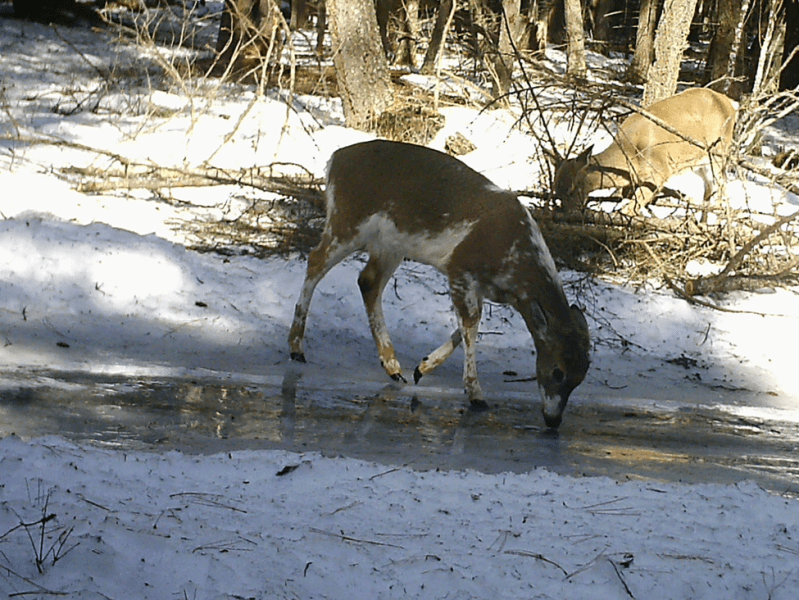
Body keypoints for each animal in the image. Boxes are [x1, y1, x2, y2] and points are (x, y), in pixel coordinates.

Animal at [288, 140, 590, 429]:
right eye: (557, 371)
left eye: (581, 377)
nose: (553, 420)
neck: (514, 263)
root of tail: (335, 160)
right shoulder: (460, 268)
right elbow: (470, 324)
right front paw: (475, 394)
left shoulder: (480, 287)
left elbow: (466, 325)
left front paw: (422, 368)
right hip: (348, 220)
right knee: (316, 261)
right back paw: (296, 348)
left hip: (390, 245)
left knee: (368, 282)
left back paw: (393, 367)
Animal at [552, 88, 737, 215]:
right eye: (556, 191)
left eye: (572, 189)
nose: (567, 213)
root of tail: (730, 103)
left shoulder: (659, 173)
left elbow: (629, 210)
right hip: (699, 164)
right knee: (709, 188)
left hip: (719, 153)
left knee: (723, 188)